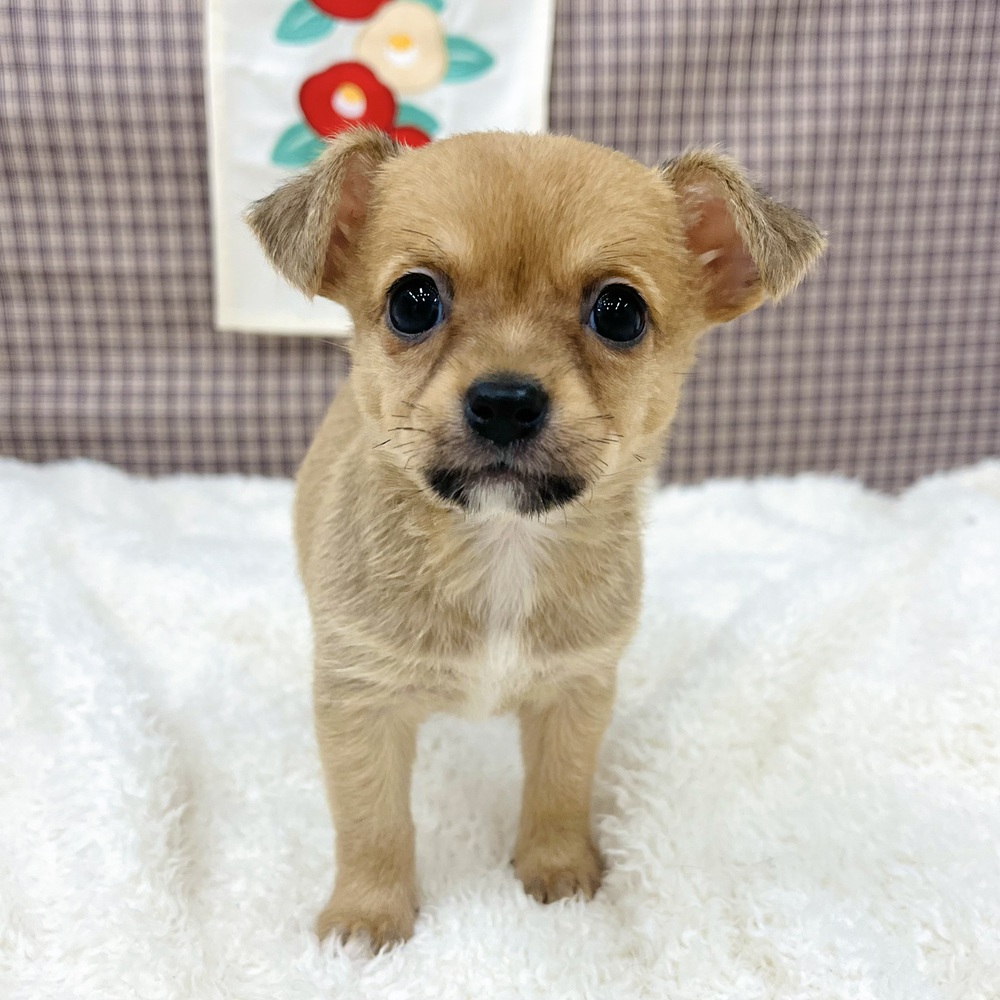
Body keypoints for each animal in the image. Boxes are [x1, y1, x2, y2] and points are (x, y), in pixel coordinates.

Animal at [246, 127, 825, 950]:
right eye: (412, 302)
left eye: (619, 312)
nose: (505, 401)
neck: (503, 543)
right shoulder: (360, 703)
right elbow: (372, 822)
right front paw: (368, 915)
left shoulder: (576, 693)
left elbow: (559, 790)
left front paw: (558, 873)